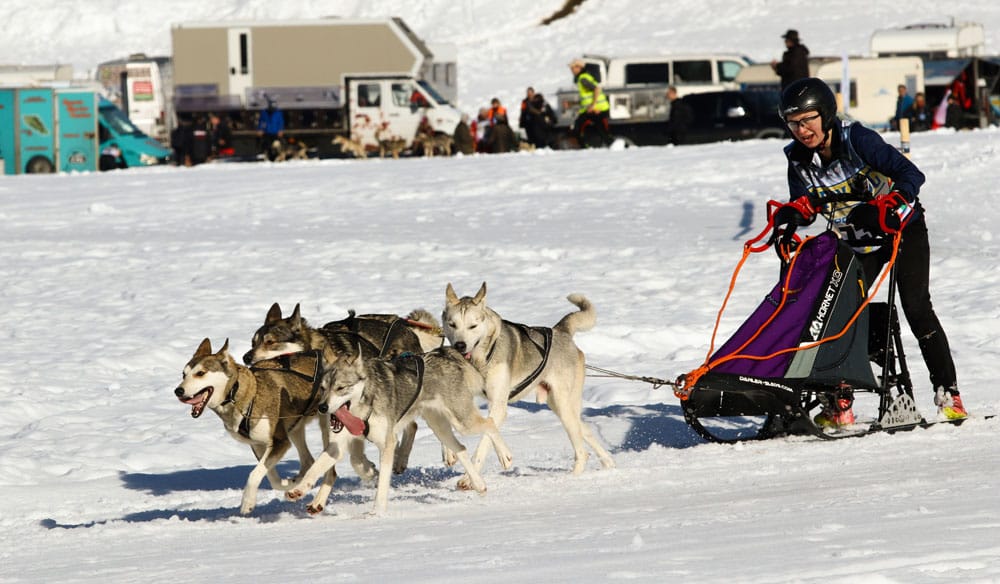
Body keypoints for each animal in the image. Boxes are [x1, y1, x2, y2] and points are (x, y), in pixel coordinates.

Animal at [174, 340, 374, 512]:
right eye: (184, 374)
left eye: (200, 373)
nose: (178, 391)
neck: (243, 394)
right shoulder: (259, 445)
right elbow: (271, 477)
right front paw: (289, 484)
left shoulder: (280, 442)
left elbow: (254, 474)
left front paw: (247, 502)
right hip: (295, 428)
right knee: (309, 461)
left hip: (325, 428)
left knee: (329, 470)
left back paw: (319, 500)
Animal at [286, 346, 512, 516]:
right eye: (323, 388)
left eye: (341, 388)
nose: (323, 407)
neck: (364, 404)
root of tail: (445, 353)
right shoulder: (337, 445)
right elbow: (315, 468)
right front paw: (297, 489)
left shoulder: (388, 444)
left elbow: (382, 482)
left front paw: (377, 511)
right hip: (440, 427)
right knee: (462, 449)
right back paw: (479, 484)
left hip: (462, 422)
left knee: (490, 423)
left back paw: (505, 456)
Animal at [442, 282, 612, 480]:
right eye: (452, 324)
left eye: (473, 326)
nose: (460, 345)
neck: (480, 360)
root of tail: (560, 330)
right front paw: (448, 452)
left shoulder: (498, 406)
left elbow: (485, 439)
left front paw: (468, 478)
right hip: (559, 406)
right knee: (586, 430)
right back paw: (608, 462)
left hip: (563, 406)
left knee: (582, 451)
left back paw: (574, 476)